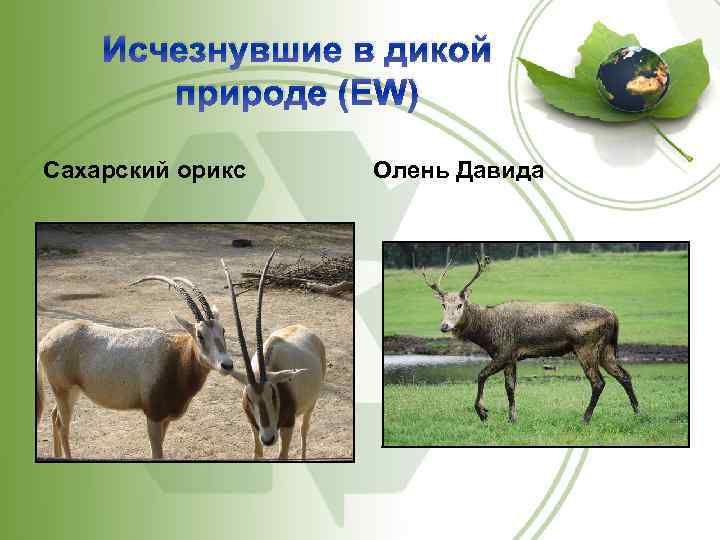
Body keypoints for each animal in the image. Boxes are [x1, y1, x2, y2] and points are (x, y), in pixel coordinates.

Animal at [36, 275, 233, 460]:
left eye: (223, 331)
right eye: (200, 335)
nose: (227, 365)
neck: (175, 356)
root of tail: (45, 341)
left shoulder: (165, 420)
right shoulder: (153, 416)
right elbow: (157, 455)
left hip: (72, 391)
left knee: (54, 416)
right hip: (63, 390)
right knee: (63, 424)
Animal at [221, 250, 326, 460]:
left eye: (273, 394)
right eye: (249, 398)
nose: (269, 439)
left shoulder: (287, 425)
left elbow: (283, 456)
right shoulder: (254, 426)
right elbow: (257, 453)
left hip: (311, 403)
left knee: (305, 428)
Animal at [420, 256, 639, 424]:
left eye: (459, 305)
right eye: (443, 305)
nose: (444, 326)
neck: (486, 333)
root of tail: (614, 316)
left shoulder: (505, 350)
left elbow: (481, 375)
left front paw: (482, 412)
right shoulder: (512, 357)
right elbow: (510, 387)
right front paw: (512, 419)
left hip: (586, 346)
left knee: (598, 382)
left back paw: (585, 418)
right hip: (606, 349)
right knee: (624, 375)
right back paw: (637, 411)